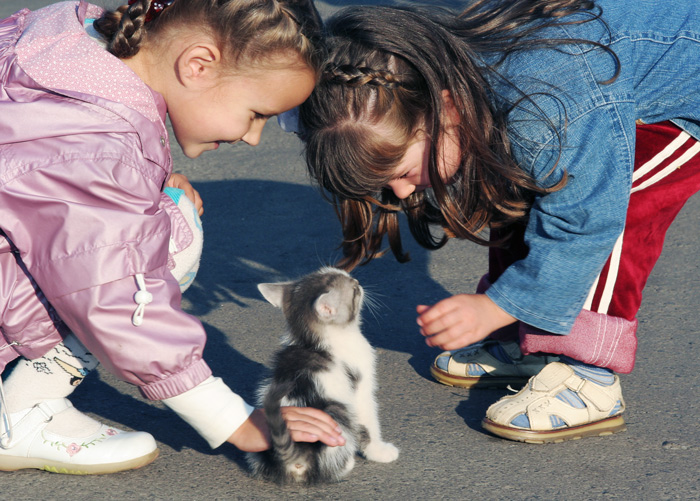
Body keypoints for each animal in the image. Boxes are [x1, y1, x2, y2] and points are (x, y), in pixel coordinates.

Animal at [246, 268, 400, 482]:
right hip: (337, 415)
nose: (357, 280)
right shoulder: (360, 387)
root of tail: (293, 456)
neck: (314, 341)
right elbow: (369, 422)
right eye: (354, 290)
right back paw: (346, 464)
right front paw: (380, 451)